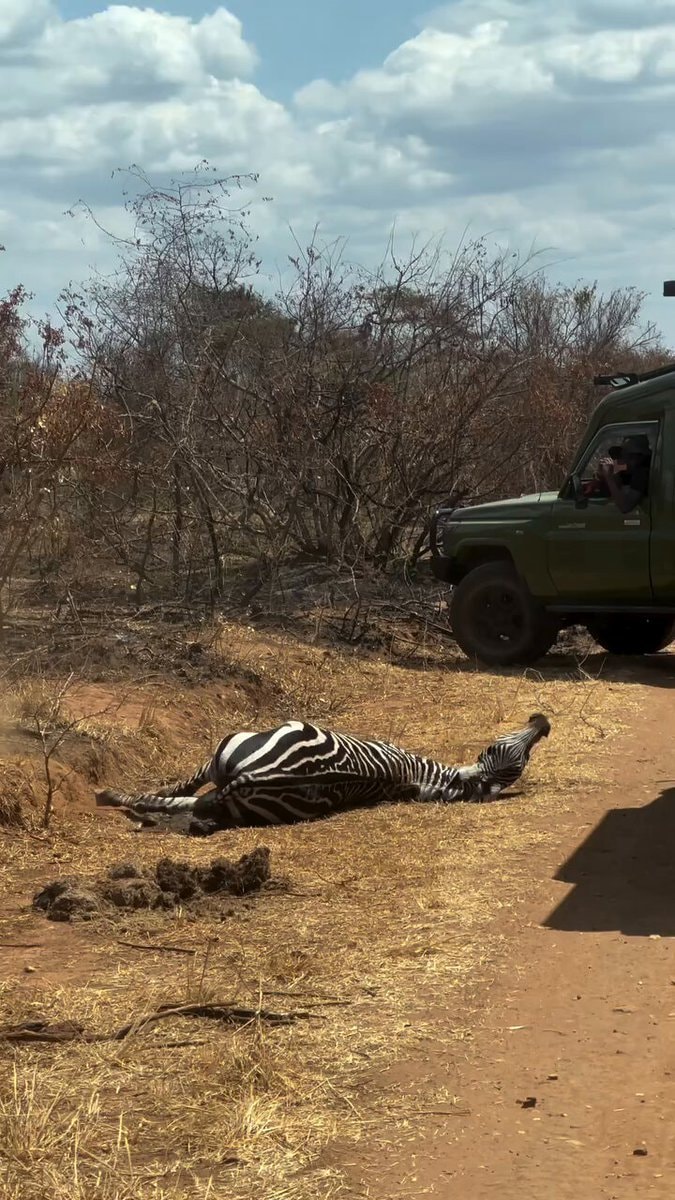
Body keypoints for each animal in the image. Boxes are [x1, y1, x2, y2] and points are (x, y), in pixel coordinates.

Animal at [94, 712, 550, 837]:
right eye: (499, 750)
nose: (543, 722)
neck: (414, 775)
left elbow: (177, 789)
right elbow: (177, 796)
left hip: (230, 747)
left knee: (184, 793)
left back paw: (115, 797)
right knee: (189, 800)